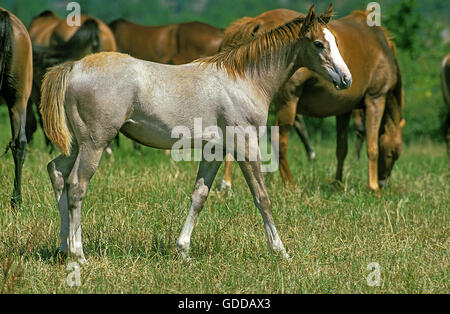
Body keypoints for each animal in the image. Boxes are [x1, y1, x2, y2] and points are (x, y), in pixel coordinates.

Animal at [40, 6, 352, 264]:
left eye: (336, 41)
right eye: (318, 43)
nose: (346, 79)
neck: (244, 80)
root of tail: (72, 67)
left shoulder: (215, 151)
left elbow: (199, 196)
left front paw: (183, 250)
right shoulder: (246, 147)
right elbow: (262, 197)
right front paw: (281, 251)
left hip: (76, 145)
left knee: (57, 173)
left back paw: (63, 247)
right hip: (94, 144)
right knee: (76, 186)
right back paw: (78, 254)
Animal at [223, 8, 402, 191]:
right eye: (392, 154)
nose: (383, 183)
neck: (381, 46)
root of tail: (259, 20)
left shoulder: (344, 110)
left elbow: (342, 149)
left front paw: (338, 183)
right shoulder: (376, 99)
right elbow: (372, 147)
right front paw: (373, 188)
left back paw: (227, 183)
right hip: (288, 102)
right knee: (279, 141)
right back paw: (289, 184)